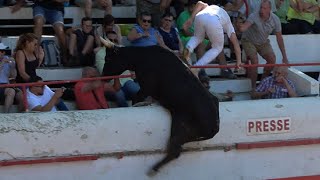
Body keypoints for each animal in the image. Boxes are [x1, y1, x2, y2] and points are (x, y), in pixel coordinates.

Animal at [102, 45, 220, 174]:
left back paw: (154, 168)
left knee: (175, 150)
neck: (140, 55)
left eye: (108, 58)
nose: (103, 76)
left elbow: (136, 98)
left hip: (179, 128)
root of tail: (215, 127)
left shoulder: (146, 87)